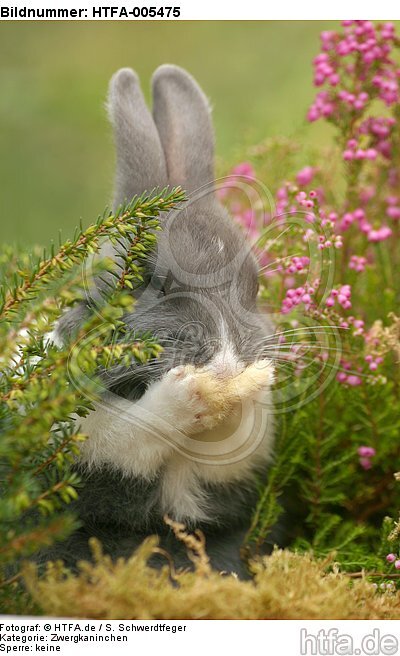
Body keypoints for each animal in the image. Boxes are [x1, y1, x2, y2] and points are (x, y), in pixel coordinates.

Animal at [49, 65, 282, 580]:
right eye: (149, 280)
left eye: (255, 286)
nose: (226, 365)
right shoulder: (87, 442)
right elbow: (133, 432)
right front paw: (187, 394)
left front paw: (249, 389)